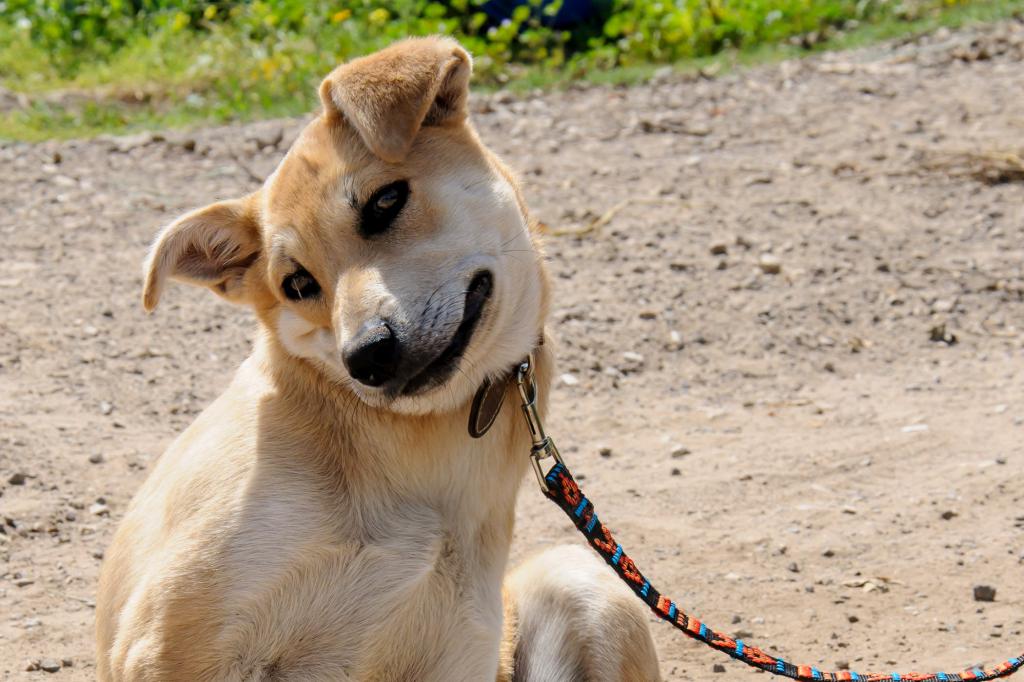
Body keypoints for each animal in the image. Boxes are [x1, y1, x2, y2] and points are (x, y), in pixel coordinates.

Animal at [94, 37, 655, 679]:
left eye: (386, 200)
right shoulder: (167, 642)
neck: (407, 444)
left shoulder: (454, 652)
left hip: (582, 580)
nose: (368, 359)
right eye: (296, 284)